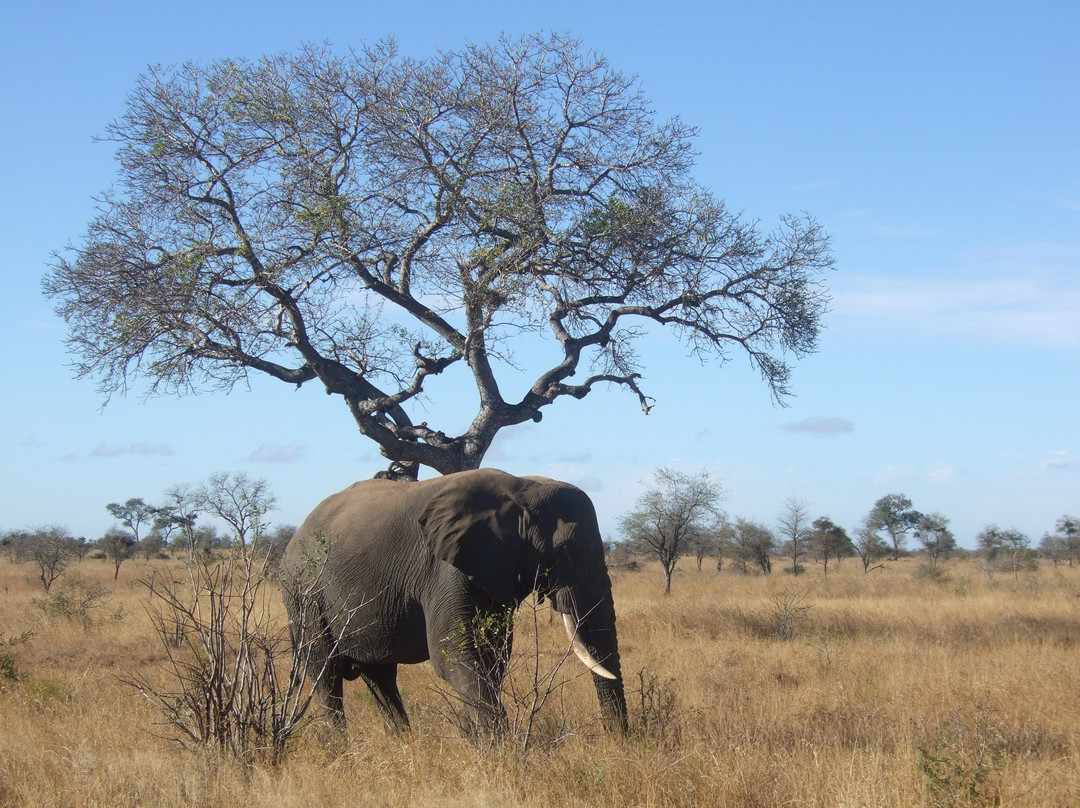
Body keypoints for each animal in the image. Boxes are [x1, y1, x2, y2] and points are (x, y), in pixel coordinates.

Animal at [282, 466, 630, 738]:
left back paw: (403, 743)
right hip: (304, 593)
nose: (618, 740)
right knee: (325, 673)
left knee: (380, 677)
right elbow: (453, 651)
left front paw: (473, 735)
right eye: (565, 551)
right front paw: (496, 747)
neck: (521, 487)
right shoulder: (444, 568)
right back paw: (341, 749)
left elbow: (493, 654)